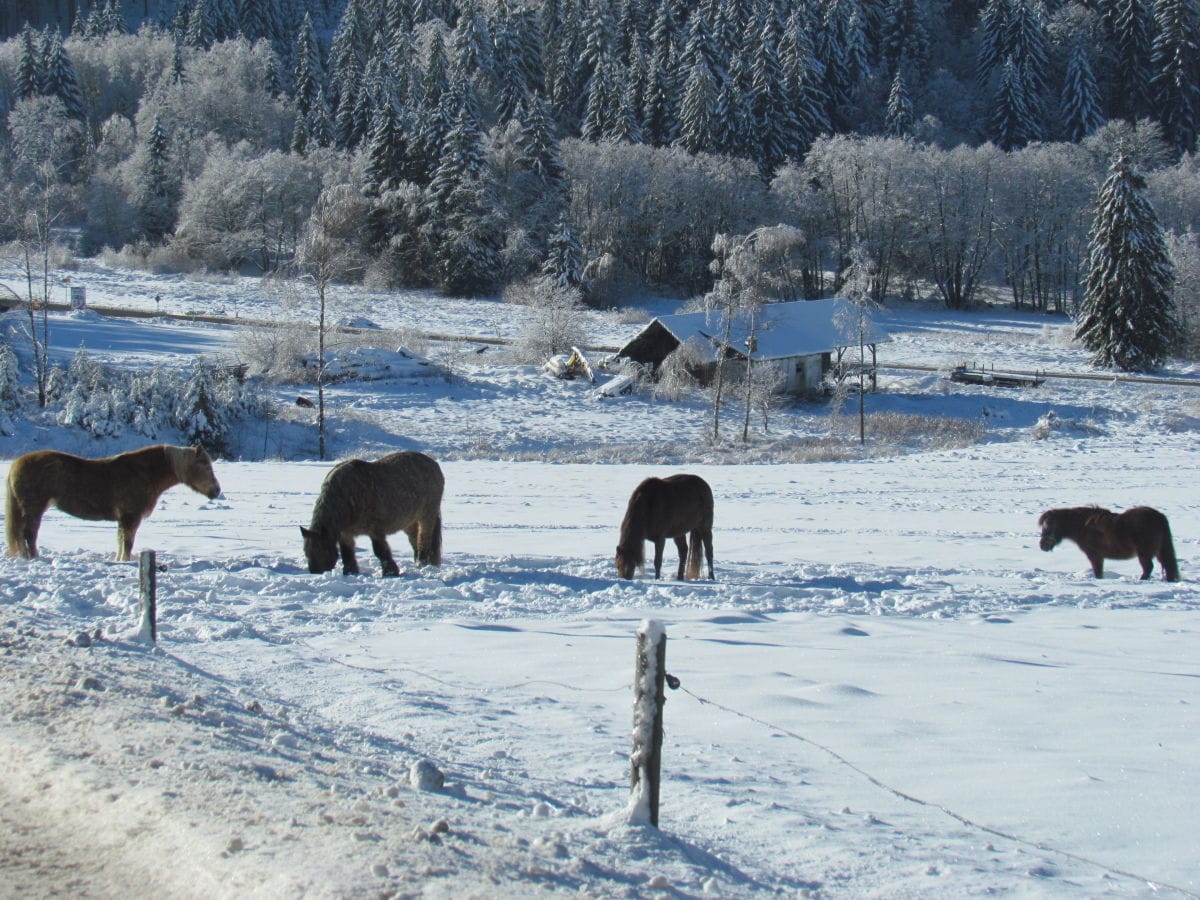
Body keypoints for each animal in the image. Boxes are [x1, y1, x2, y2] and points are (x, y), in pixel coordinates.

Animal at [5, 446, 223, 564]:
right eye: (205, 466)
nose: (216, 491)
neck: (144, 473)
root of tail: (17, 463)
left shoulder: (124, 518)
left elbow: (121, 541)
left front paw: (119, 560)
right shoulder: (130, 516)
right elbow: (127, 542)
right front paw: (124, 561)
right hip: (34, 508)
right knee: (28, 534)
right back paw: (33, 557)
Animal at [300, 451, 446, 578]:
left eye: (322, 549)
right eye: (306, 551)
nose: (315, 572)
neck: (347, 497)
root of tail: (434, 464)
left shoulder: (375, 530)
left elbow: (380, 550)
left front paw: (390, 572)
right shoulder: (345, 533)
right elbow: (347, 553)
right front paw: (350, 572)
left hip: (427, 516)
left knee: (424, 539)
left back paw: (423, 564)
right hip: (409, 521)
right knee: (414, 539)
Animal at [1036, 508, 1176, 585]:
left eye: (1048, 526)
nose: (1042, 545)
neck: (1083, 527)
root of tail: (1158, 517)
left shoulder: (1094, 555)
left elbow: (1098, 572)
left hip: (1144, 553)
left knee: (1148, 568)